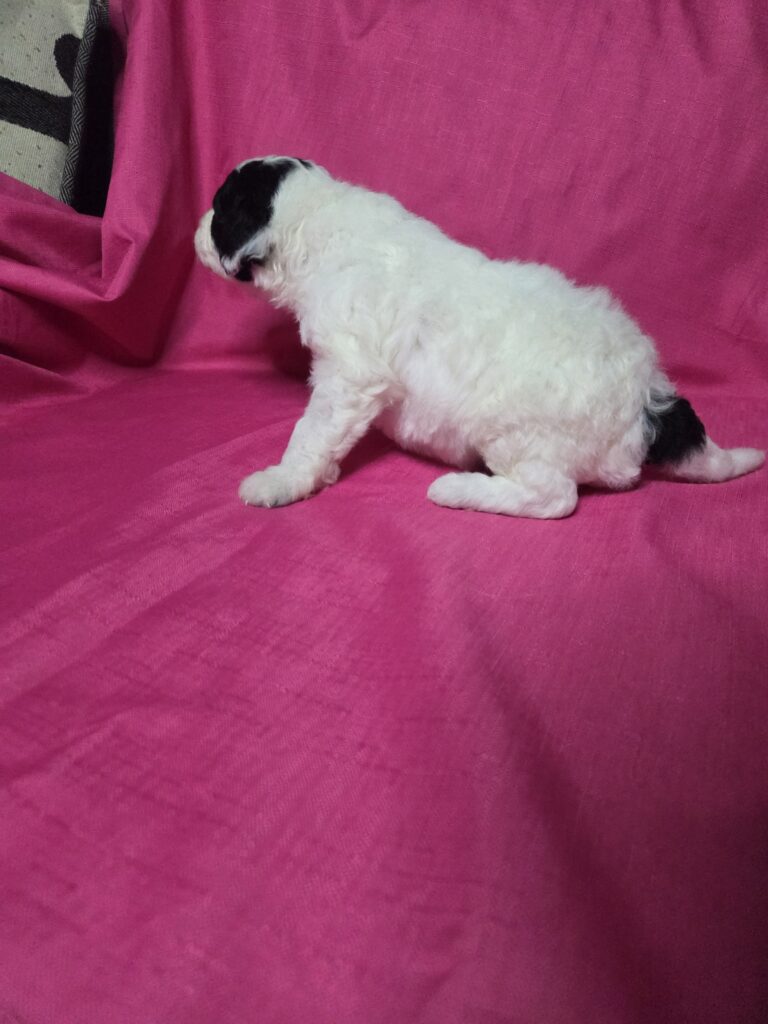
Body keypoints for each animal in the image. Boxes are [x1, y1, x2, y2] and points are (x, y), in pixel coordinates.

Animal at [194, 156, 764, 517]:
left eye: (220, 209)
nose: (196, 230)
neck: (317, 221)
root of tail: (650, 398)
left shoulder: (350, 374)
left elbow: (311, 430)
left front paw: (281, 480)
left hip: (517, 433)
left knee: (556, 497)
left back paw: (459, 489)